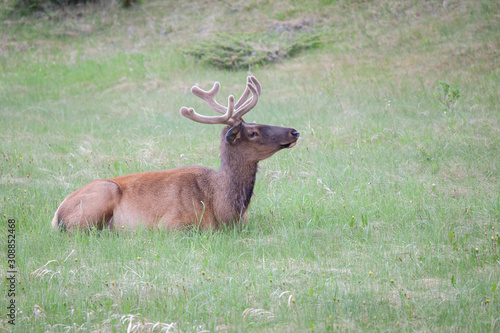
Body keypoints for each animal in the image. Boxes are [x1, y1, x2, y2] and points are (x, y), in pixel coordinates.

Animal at [52, 75, 298, 232]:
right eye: (253, 133)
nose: (294, 131)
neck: (223, 207)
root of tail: (56, 217)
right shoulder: (171, 223)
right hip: (101, 196)